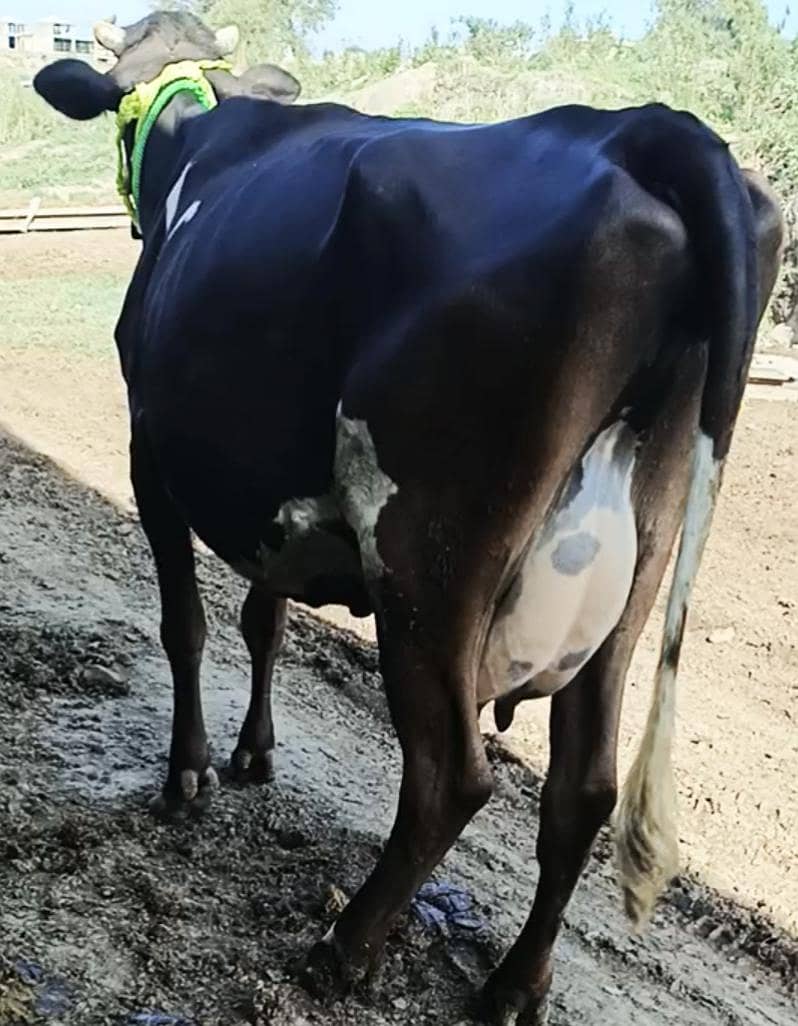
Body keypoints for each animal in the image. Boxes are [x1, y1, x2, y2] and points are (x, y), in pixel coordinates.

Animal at [33, 11, 784, 1024]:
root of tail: (644, 126)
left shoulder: (147, 444)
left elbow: (185, 624)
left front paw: (189, 773)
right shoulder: (279, 511)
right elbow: (265, 621)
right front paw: (255, 752)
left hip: (432, 558)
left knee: (450, 778)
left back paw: (344, 946)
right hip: (639, 571)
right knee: (582, 790)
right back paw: (514, 984)